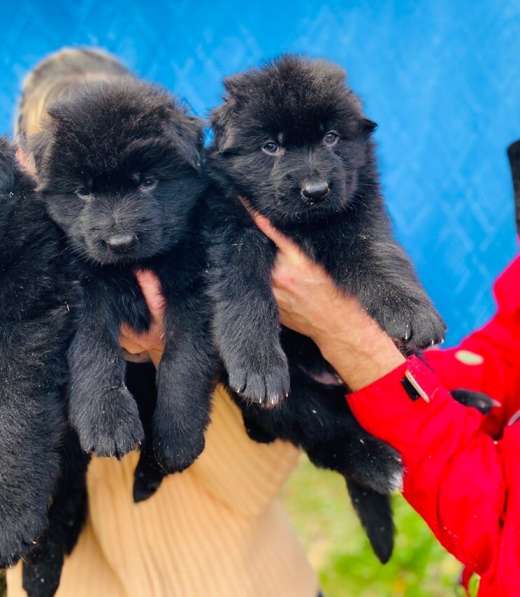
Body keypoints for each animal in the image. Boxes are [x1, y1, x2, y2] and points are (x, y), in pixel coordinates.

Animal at [27, 60, 215, 474]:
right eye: (83, 191)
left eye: (147, 182)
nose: (119, 242)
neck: (133, 266)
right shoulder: (84, 287)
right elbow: (94, 348)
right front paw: (107, 424)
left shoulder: (193, 286)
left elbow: (184, 359)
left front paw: (177, 439)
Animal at [201, 56, 444, 560]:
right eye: (271, 146)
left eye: (331, 137)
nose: (315, 189)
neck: (304, 226)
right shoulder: (231, 228)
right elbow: (243, 291)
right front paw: (258, 364)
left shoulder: (359, 211)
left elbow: (379, 257)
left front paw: (412, 312)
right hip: (296, 401)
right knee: (326, 438)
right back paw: (379, 464)